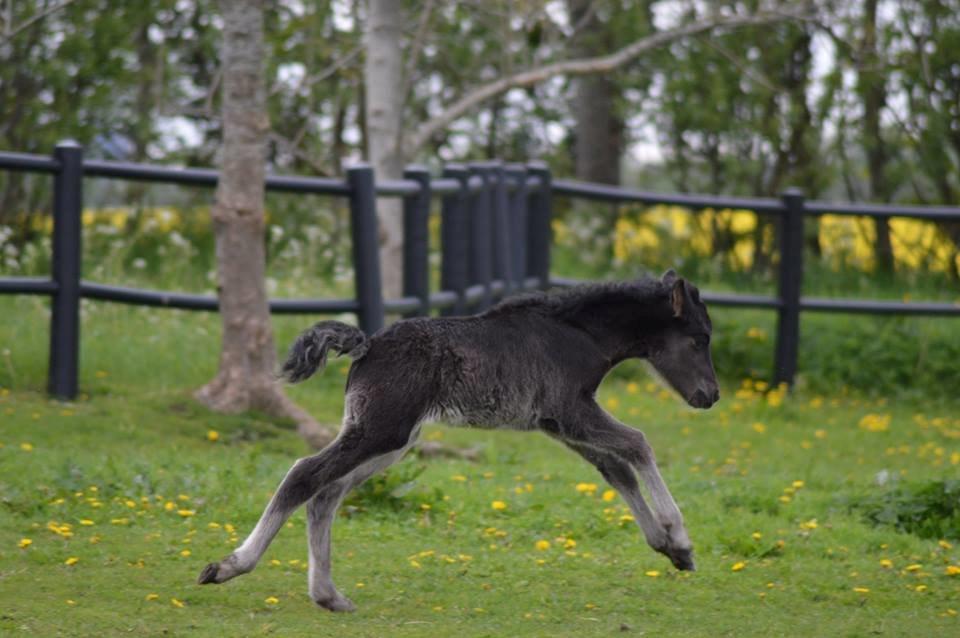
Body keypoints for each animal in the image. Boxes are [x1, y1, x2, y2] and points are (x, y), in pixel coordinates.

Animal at [197, 272, 720, 612]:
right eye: (698, 339)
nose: (711, 396)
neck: (576, 333)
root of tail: (368, 344)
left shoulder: (558, 423)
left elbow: (618, 468)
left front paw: (671, 550)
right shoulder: (572, 410)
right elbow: (638, 444)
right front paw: (678, 534)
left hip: (391, 441)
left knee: (326, 493)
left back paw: (328, 595)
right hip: (380, 431)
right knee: (305, 474)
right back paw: (229, 566)